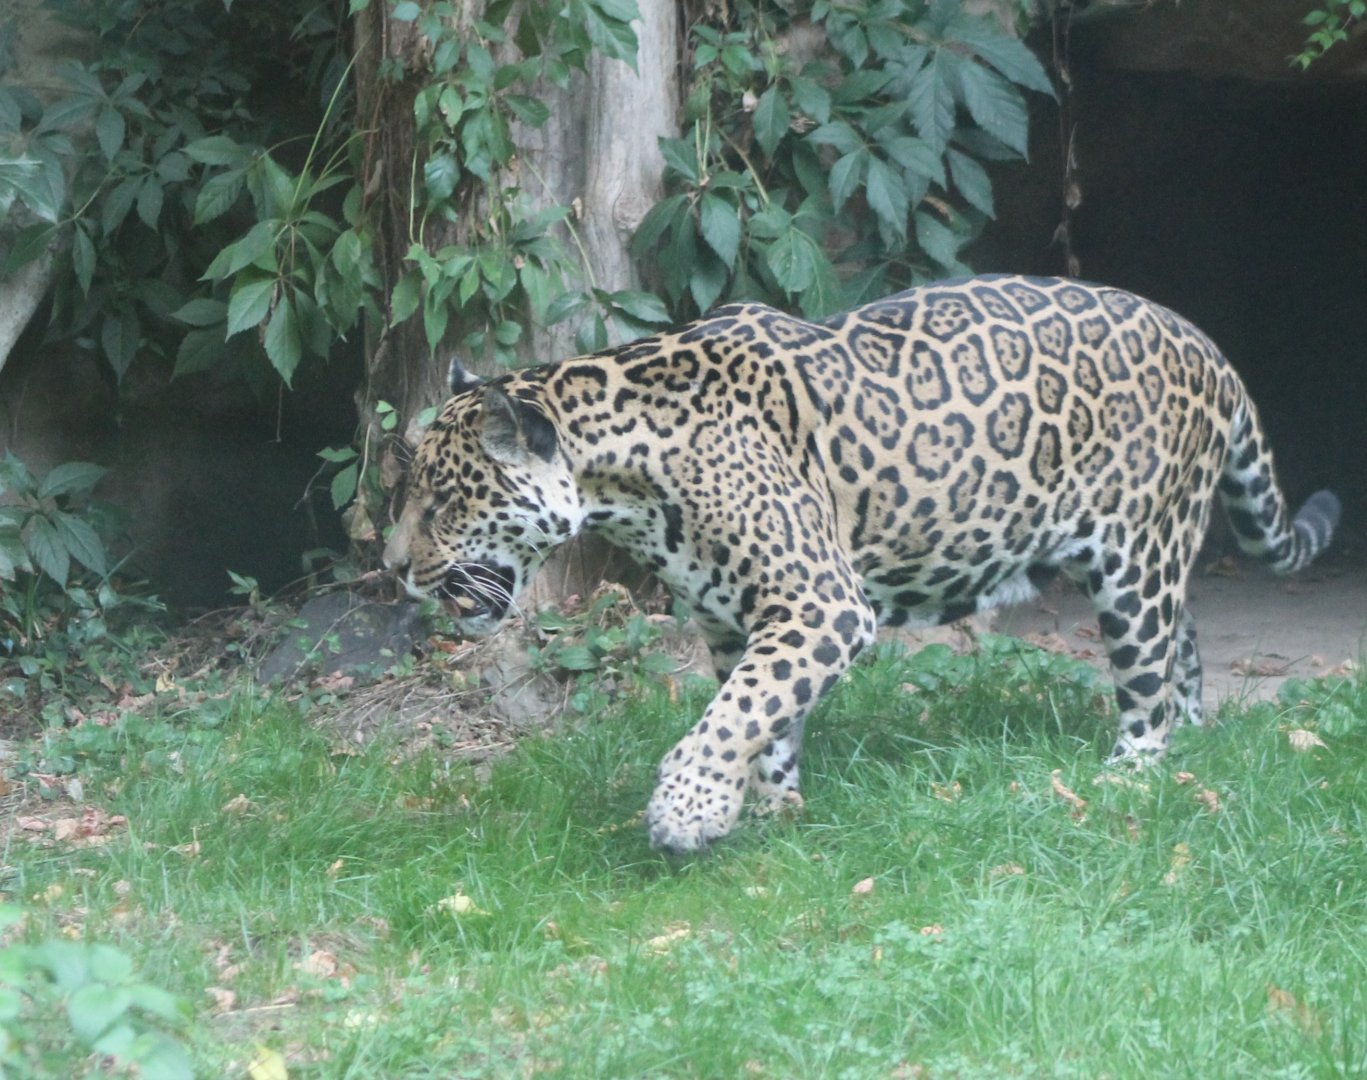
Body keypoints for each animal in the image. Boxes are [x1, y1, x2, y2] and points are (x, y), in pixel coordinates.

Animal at [383, 274, 1340, 853]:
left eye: (443, 499)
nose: (392, 569)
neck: (621, 472)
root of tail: (1206, 344)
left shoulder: (821, 603)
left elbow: (735, 710)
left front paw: (687, 808)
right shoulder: (731, 619)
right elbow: (762, 710)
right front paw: (771, 808)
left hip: (1133, 555)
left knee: (1145, 668)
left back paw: (1132, 772)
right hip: (1150, 551)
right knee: (1183, 639)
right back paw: (1193, 739)